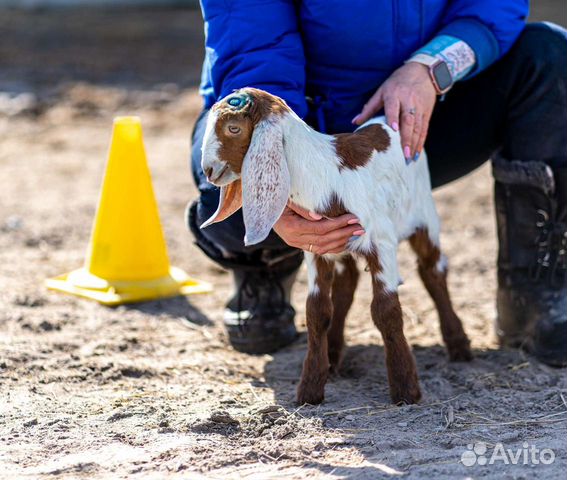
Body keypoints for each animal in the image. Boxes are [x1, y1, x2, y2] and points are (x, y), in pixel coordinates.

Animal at [199, 87, 470, 404]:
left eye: (233, 128)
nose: (209, 171)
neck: (324, 174)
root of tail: (386, 120)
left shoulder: (382, 243)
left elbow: (386, 310)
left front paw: (406, 389)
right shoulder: (318, 252)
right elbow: (317, 311)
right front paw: (310, 388)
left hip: (425, 215)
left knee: (433, 271)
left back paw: (459, 345)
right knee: (346, 286)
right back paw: (334, 355)